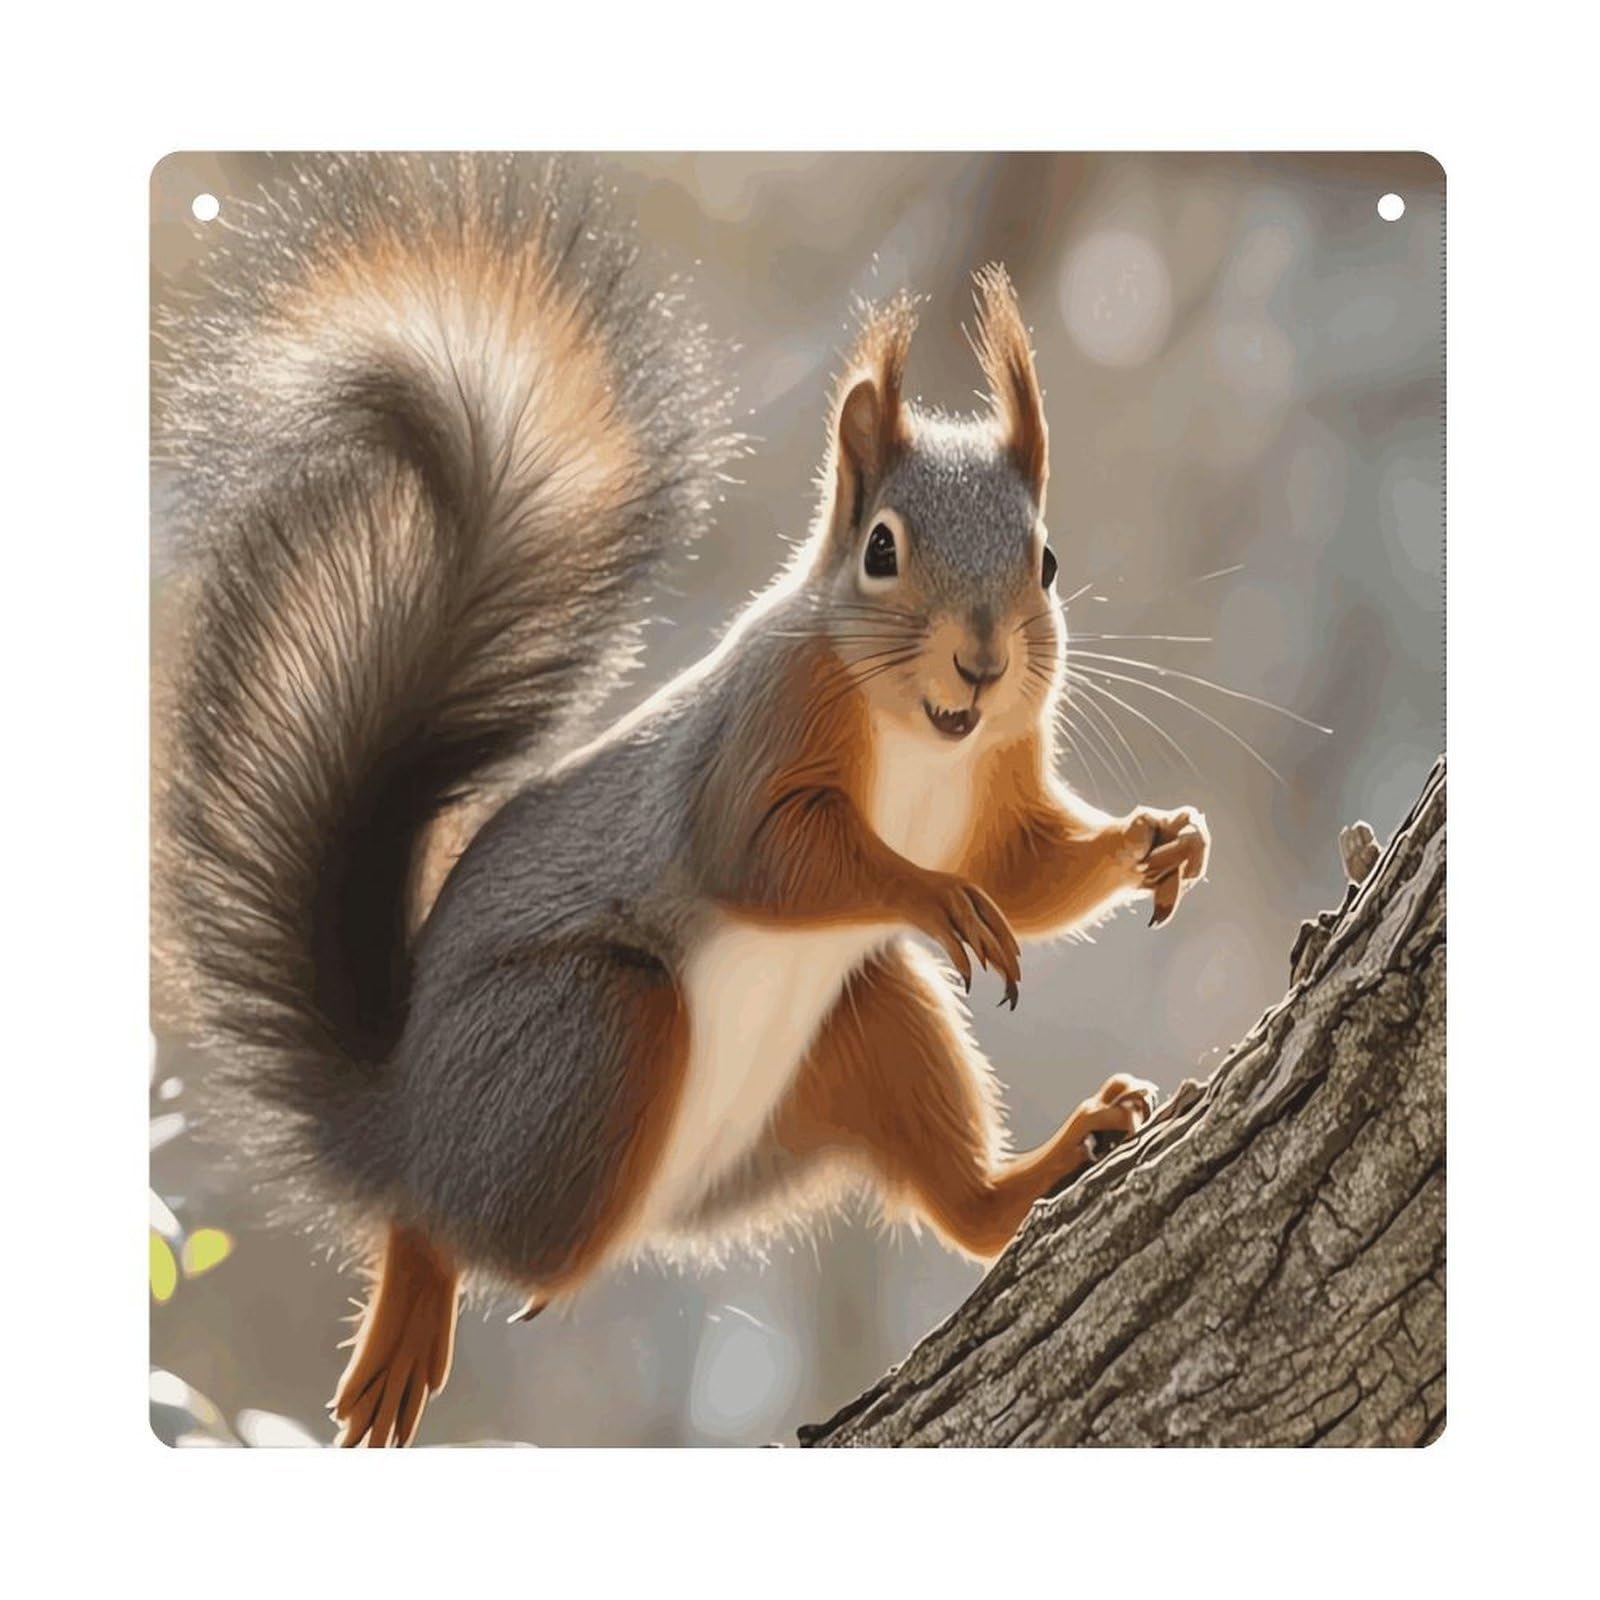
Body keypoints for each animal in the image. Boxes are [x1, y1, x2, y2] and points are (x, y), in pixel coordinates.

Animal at [155, 153, 1210, 1447]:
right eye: (879, 549)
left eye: (1047, 563)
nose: (982, 661)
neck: (920, 736)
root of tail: (398, 1115)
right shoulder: (753, 739)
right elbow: (766, 857)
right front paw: (930, 893)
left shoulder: (1000, 773)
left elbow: (1022, 867)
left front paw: (1155, 842)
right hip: (595, 1033)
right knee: (448, 1218)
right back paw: (415, 1290)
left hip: (861, 1028)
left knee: (956, 1202)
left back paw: (1042, 1168)